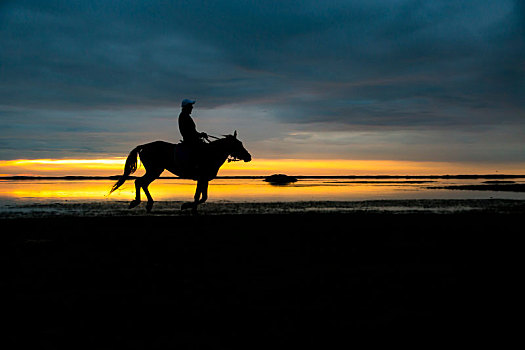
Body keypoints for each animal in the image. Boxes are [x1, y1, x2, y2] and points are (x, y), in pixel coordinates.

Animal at [107, 131, 251, 213]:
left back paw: (148, 204)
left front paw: (191, 208)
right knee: (139, 182)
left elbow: (202, 197)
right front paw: (187, 206)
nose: (249, 157)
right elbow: (199, 196)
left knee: (143, 183)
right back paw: (138, 202)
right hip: (154, 170)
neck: (211, 153)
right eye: (238, 144)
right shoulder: (202, 178)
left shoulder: (204, 179)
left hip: (155, 171)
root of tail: (145, 146)